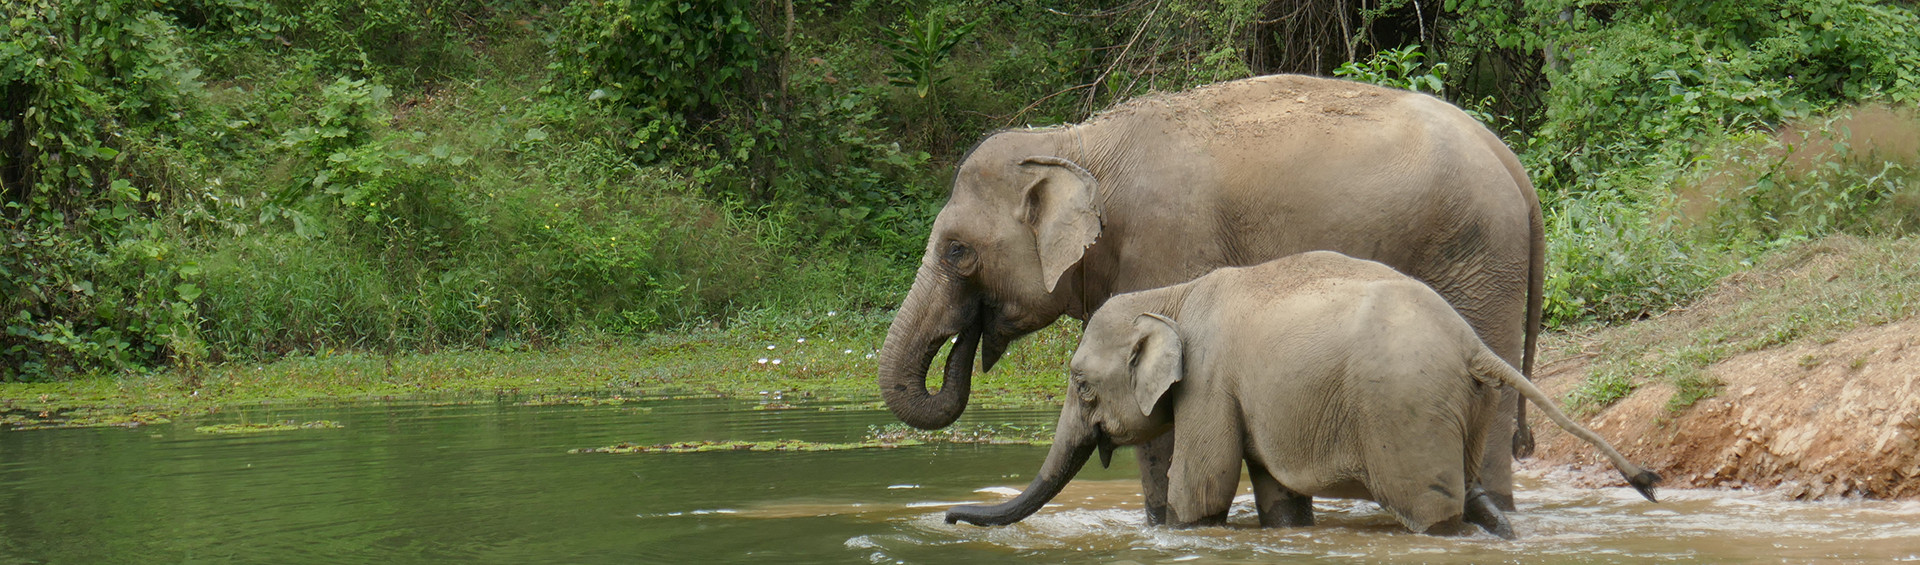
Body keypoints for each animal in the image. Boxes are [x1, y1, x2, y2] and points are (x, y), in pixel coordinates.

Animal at [876, 74, 1545, 517]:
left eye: (956, 251)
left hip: (1478, 259)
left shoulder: (1166, 241)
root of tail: (1512, 163)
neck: (1075, 143)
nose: (948, 516)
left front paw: (1162, 526)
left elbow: (1158, 424)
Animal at [944, 252, 1659, 537]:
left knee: (1431, 506)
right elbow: (1279, 499)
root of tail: (1471, 343)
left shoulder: (1209, 382)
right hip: (1466, 407)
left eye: (1081, 385)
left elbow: (1201, 488)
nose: (948, 518)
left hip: (1405, 411)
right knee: (1472, 492)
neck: (1171, 296)